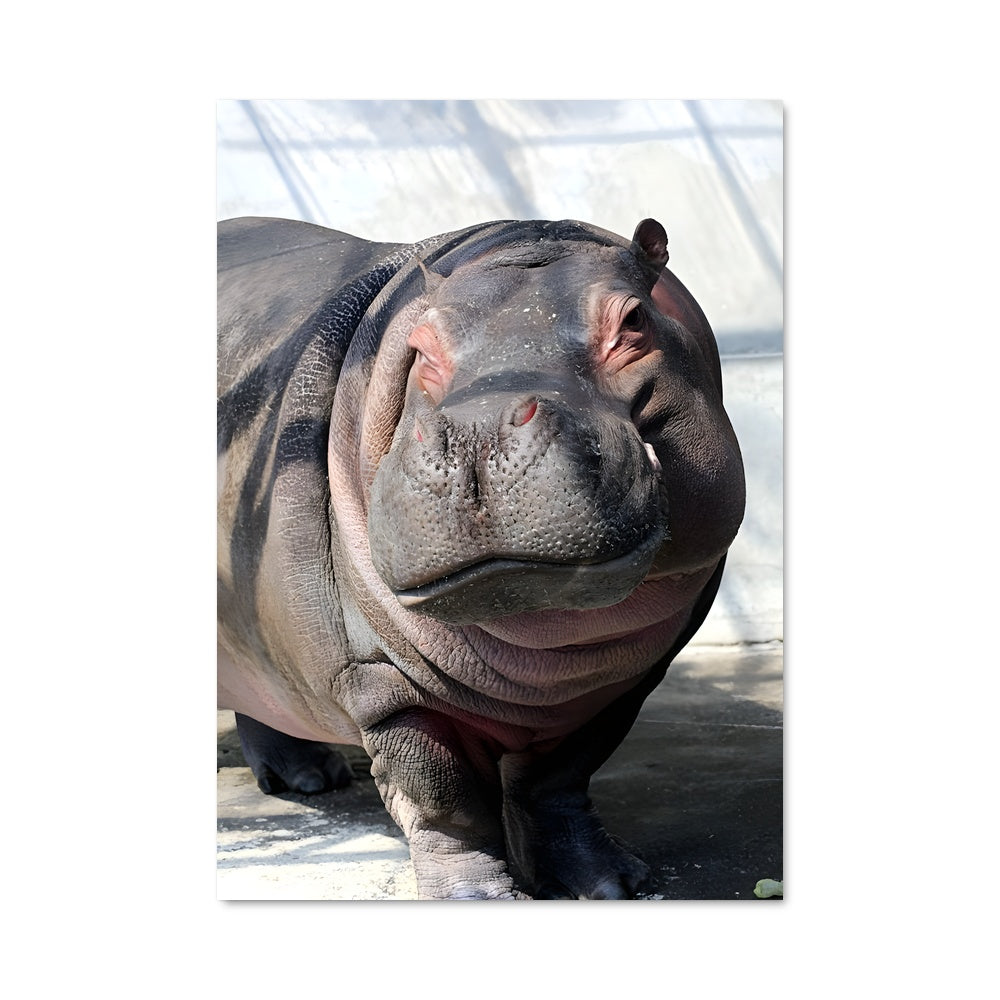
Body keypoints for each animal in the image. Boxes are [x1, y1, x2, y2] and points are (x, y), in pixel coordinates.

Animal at [217, 215, 745, 899]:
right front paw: (478, 897)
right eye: (420, 344)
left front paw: (612, 884)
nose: (478, 428)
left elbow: (559, 780)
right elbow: (444, 800)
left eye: (634, 322)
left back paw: (310, 779)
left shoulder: (621, 681)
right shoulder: (382, 682)